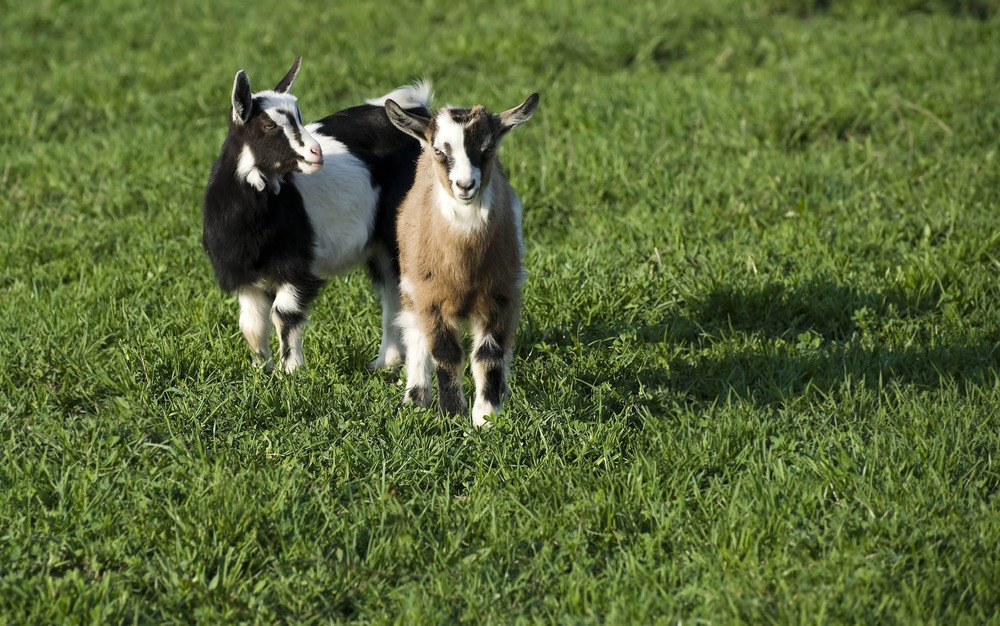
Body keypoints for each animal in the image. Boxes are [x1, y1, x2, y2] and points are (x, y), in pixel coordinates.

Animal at [203, 57, 434, 370]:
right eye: (267, 124)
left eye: (299, 117)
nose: (316, 152)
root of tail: (418, 110)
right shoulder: (244, 276)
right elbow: (251, 324)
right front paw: (260, 369)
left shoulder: (296, 262)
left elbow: (284, 313)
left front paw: (290, 370)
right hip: (381, 244)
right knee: (391, 290)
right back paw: (385, 362)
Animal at [382, 91, 540, 424]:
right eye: (440, 151)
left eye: (488, 148)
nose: (466, 185)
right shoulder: (431, 298)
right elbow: (445, 354)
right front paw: (452, 415)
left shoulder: (498, 295)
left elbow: (489, 355)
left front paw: (487, 417)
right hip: (411, 287)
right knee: (415, 334)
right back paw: (415, 397)